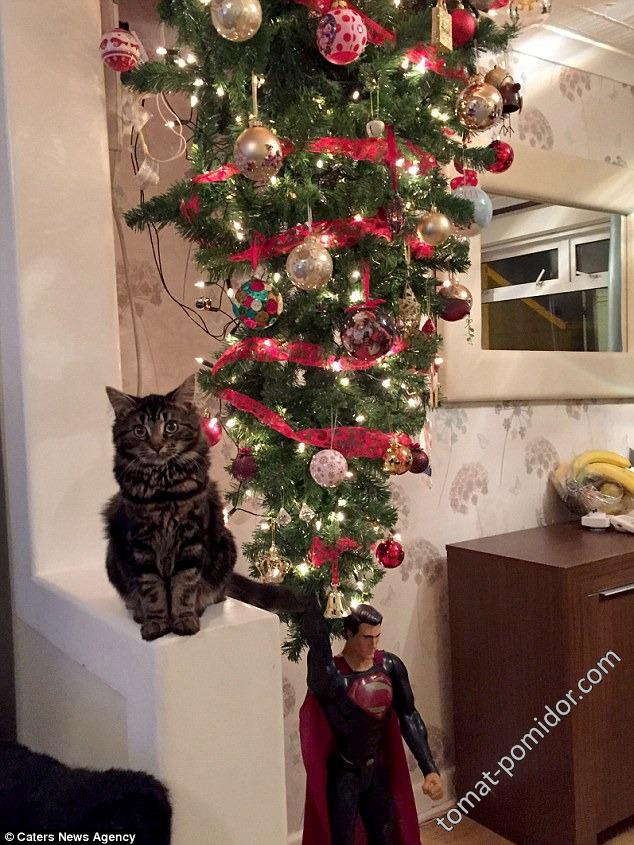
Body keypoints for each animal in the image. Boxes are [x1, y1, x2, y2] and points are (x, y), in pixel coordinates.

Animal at [104, 375, 304, 640]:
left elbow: (184, 586)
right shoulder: (141, 542)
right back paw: (138, 612)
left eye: (171, 427)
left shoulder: (191, 538)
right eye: (139, 430)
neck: (163, 489)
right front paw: (155, 622)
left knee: (216, 593)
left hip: (225, 546)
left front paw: (184, 621)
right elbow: (152, 589)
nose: (157, 445)